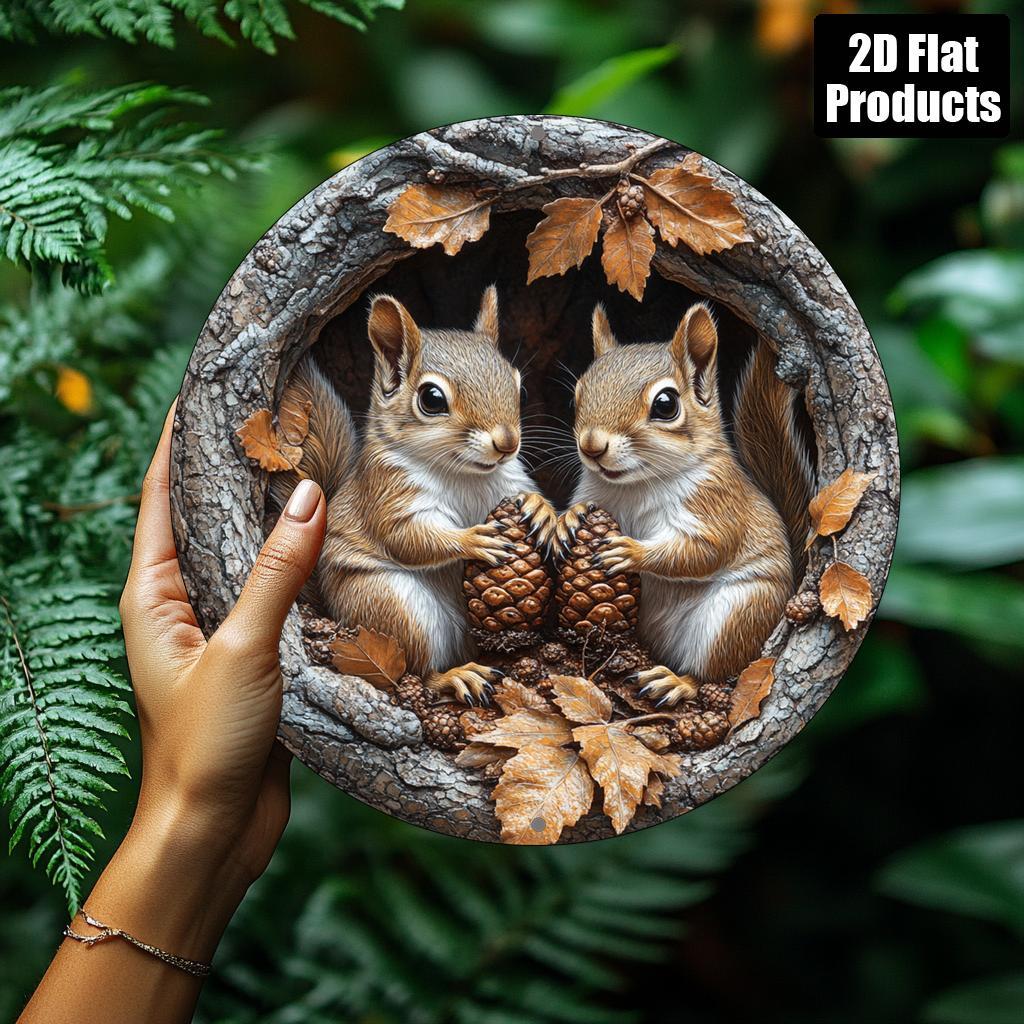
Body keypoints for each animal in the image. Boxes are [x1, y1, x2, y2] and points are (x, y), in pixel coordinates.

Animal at [271, 287, 558, 704]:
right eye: (432, 399)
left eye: (518, 387)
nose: (507, 443)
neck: (463, 474)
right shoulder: (387, 491)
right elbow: (408, 538)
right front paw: (475, 540)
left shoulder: (508, 482)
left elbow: (527, 495)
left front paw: (543, 511)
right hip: (391, 604)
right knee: (415, 670)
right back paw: (456, 676)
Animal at [557, 302, 814, 706]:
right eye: (578, 395)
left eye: (666, 405)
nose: (592, 446)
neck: (635, 485)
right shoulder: (592, 491)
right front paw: (568, 519)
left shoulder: (718, 503)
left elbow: (703, 551)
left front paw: (630, 551)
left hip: (735, 615)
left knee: (713, 672)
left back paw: (675, 682)